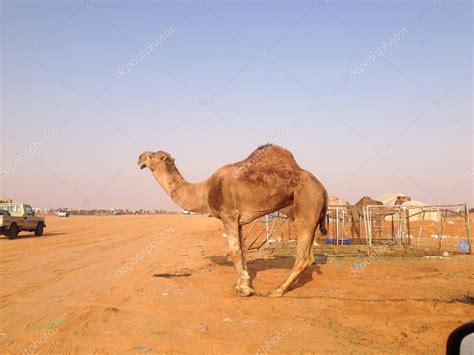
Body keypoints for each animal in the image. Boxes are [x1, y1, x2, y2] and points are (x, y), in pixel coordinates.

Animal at [139, 145, 328, 298]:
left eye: (153, 155)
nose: (139, 157)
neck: (204, 191)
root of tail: (322, 188)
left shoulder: (228, 215)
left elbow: (234, 251)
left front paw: (244, 290)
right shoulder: (238, 220)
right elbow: (242, 251)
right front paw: (243, 282)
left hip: (307, 206)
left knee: (302, 257)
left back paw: (277, 290)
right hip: (308, 215)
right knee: (310, 256)